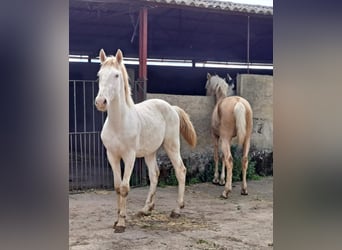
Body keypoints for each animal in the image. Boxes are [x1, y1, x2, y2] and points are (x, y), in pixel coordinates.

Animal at [94, 48, 198, 232]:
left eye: (116, 75)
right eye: (99, 74)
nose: (101, 102)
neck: (118, 123)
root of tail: (172, 108)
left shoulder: (129, 156)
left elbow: (124, 188)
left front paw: (121, 223)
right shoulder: (112, 155)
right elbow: (117, 187)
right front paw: (117, 219)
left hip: (171, 145)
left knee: (180, 170)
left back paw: (177, 210)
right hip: (151, 152)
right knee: (154, 174)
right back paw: (146, 209)